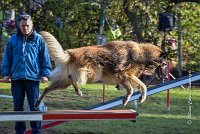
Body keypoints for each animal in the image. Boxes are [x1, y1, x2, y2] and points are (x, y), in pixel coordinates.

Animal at [34, 31, 166, 108]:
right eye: (165, 63)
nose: (165, 75)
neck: (142, 54)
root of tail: (71, 54)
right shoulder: (122, 75)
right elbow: (135, 88)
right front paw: (134, 98)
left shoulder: (125, 77)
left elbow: (139, 86)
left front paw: (133, 98)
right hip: (94, 72)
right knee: (73, 78)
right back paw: (78, 91)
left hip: (64, 82)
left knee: (47, 88)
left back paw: (38, 102)